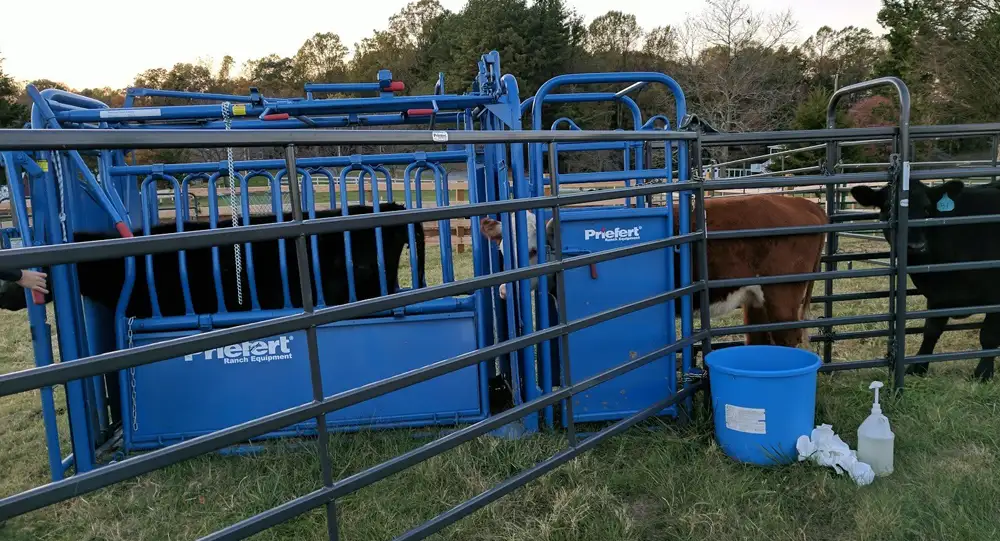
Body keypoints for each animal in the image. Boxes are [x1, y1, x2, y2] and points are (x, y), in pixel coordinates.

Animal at [480, 194, 824, 346]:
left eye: (533, 250)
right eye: (502, 252)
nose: (504, 291)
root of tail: (803, 202)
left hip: (782, 295)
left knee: (789, 338)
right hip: (757, 300)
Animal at [852, 180, 1000, 380]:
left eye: (927, 210)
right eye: (889, 208)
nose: (916, 246)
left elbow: (988, 336)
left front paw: (983, 372)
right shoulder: (938, 295)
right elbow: (931, 331)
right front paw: (918, 366)